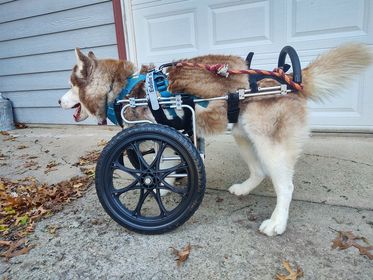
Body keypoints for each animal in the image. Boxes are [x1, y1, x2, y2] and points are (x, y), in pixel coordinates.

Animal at [59, 44, 370, 236]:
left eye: (70, 85)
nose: (57, 100)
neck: (123, 88)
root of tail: (288, 77)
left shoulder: (158, 133)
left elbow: (156, 168)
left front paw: (157, 185)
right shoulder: (179, 137)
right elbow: (168, 165)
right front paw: (169, 184)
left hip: (269, 144)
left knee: (286, 186)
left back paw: (277, 222)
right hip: (244, 137)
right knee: (259, 171)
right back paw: (244, 189)